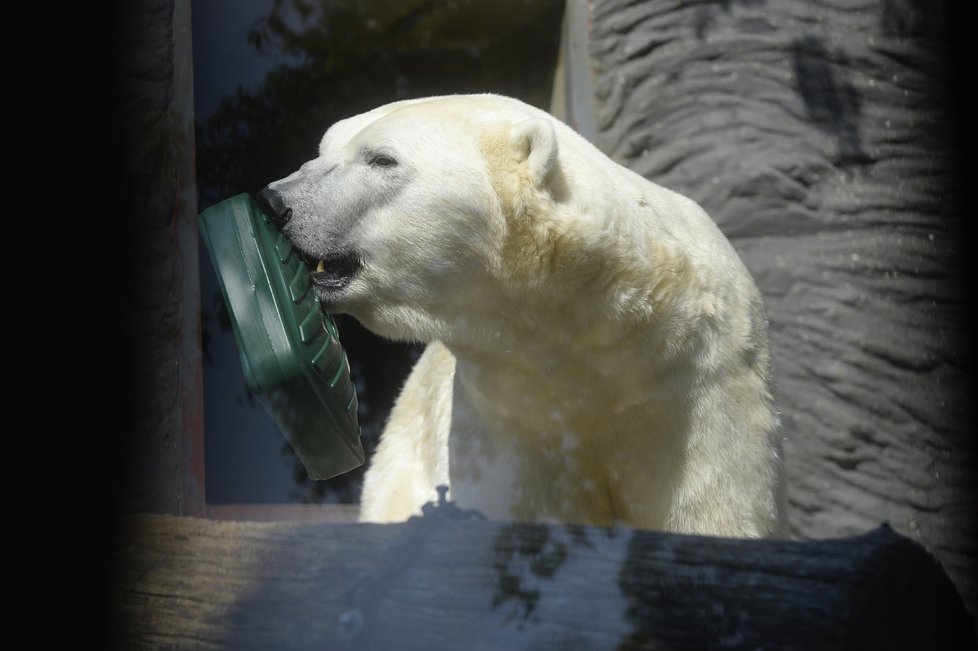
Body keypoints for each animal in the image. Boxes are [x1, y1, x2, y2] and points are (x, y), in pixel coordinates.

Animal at [260, 93, 784, 540]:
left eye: (382, 159)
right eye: (324, 148)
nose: (274, 201)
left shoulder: (697, 386)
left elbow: (709, 509)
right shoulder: (511, 416)